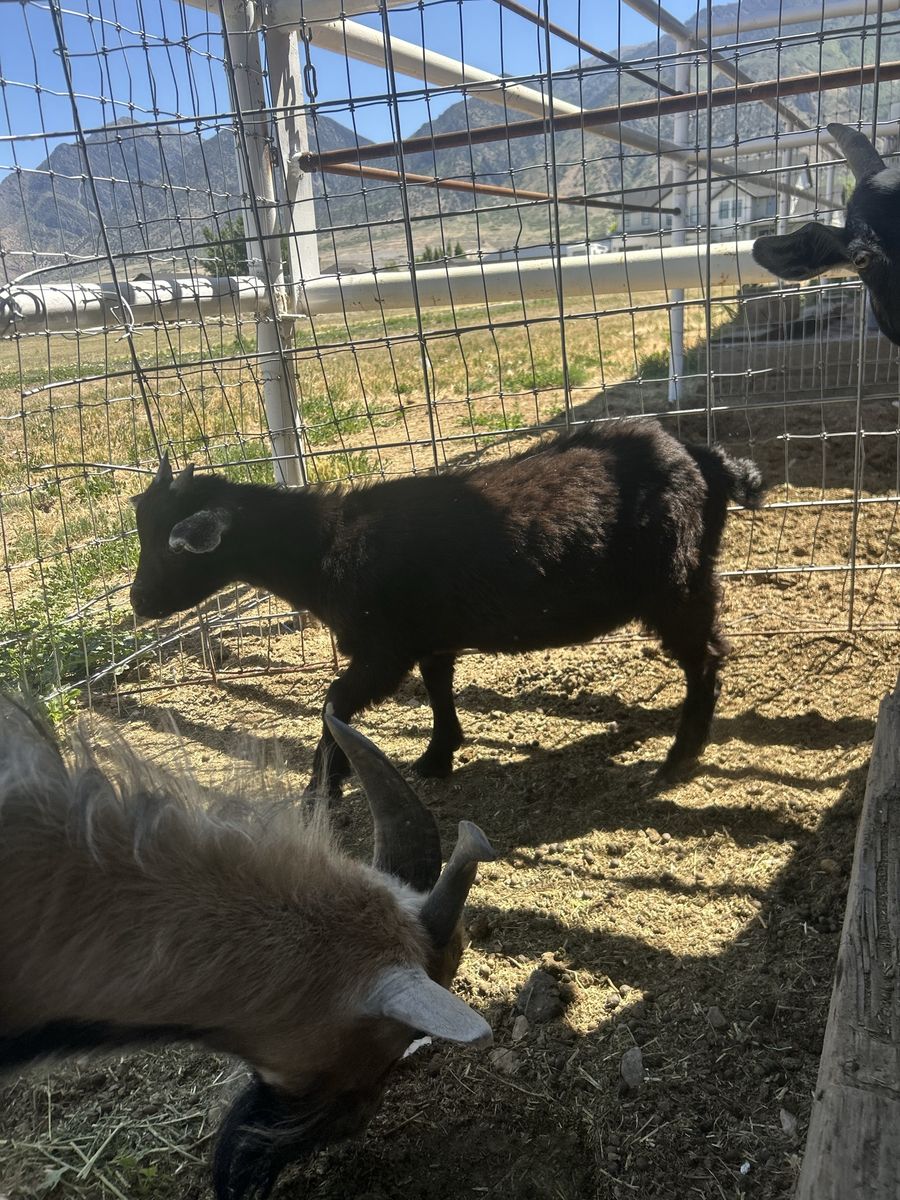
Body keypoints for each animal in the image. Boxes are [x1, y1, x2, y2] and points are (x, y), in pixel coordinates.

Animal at [129, 420, 764, 796]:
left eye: (174, 546)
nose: (138, 602)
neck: (328, 546)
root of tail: (704, 458)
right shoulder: (429, 636)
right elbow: (438, 688)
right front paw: (437, 756)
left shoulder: (383, 648)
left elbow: (334, 705)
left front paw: (322, 788)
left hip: (675, 582)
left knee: (705, 659)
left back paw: (676, 762)